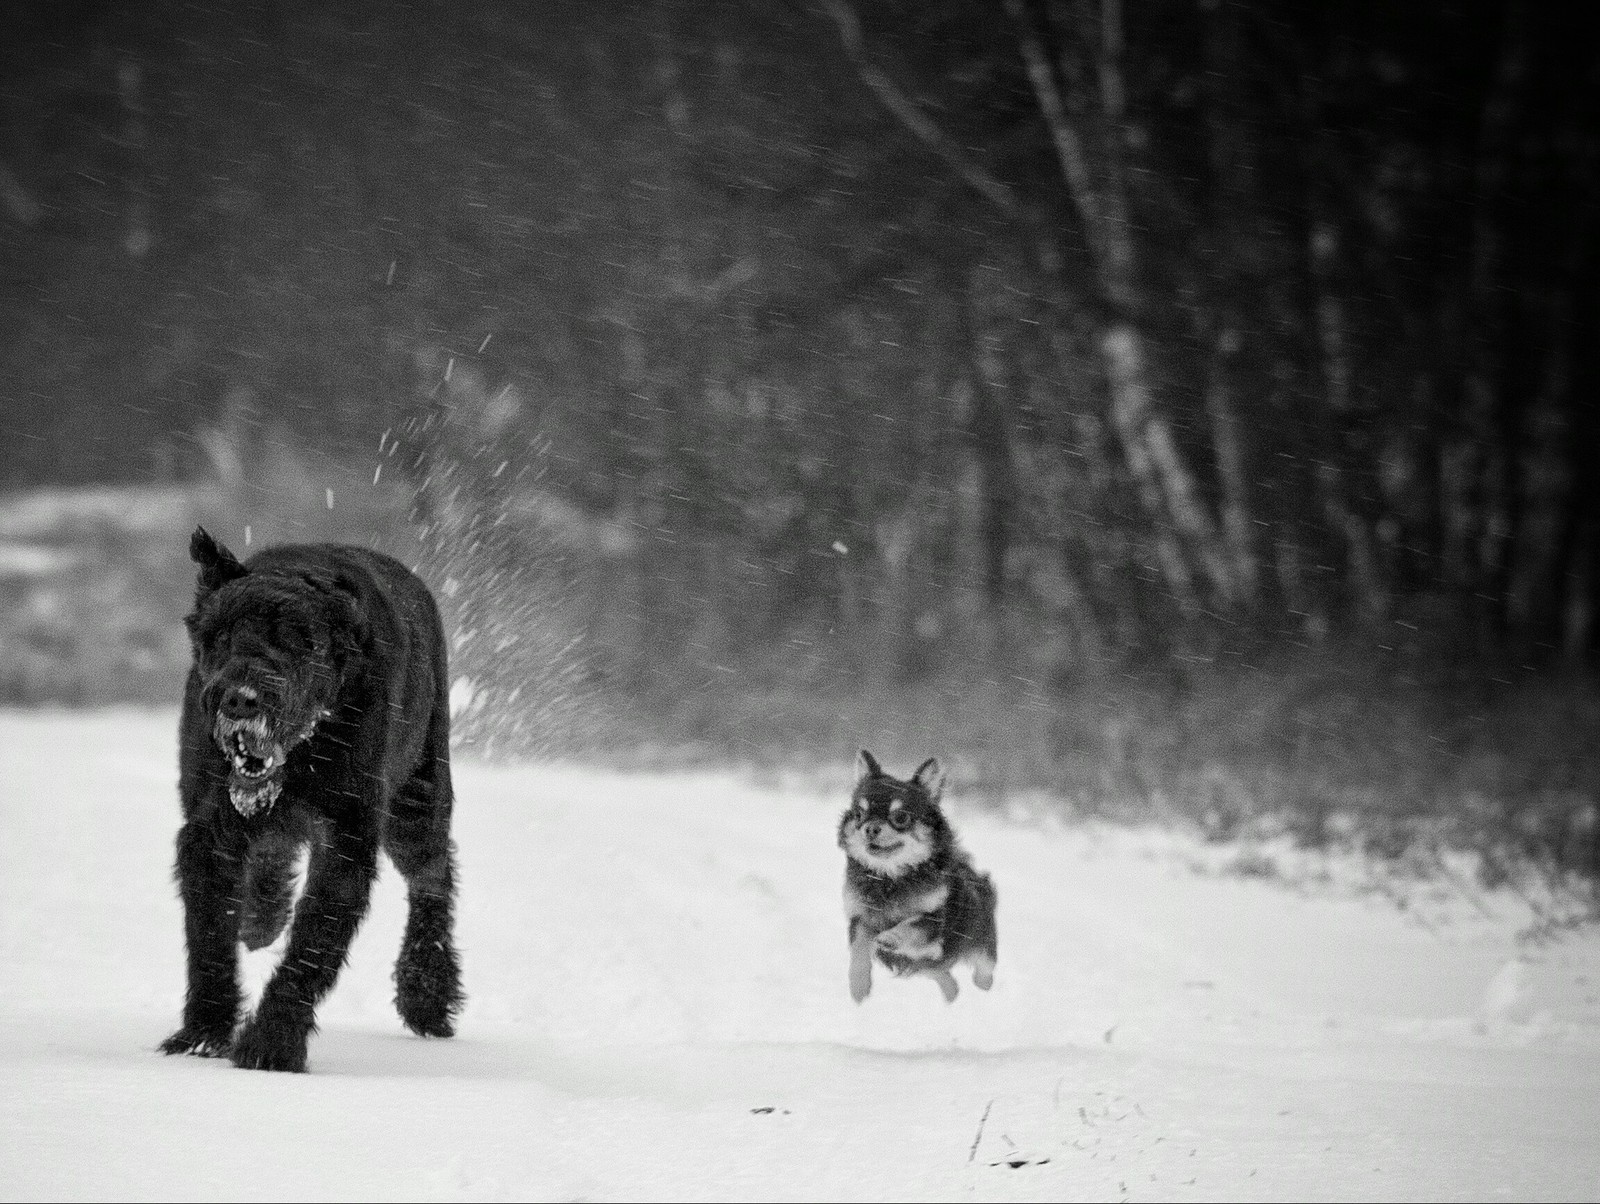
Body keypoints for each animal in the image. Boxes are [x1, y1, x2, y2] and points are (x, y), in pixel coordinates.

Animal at [160, 525, 464, 1069]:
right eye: (219, 637)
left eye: (296, 640)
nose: (239, 698)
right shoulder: (209, 831)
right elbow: (210, 937)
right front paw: (203, 1035)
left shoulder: (346, 837)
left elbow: (314, 945)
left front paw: (271, 1045)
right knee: (273, 854)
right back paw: (261, 919)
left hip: (418, 803)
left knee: (434, 876)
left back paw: (426, 993)